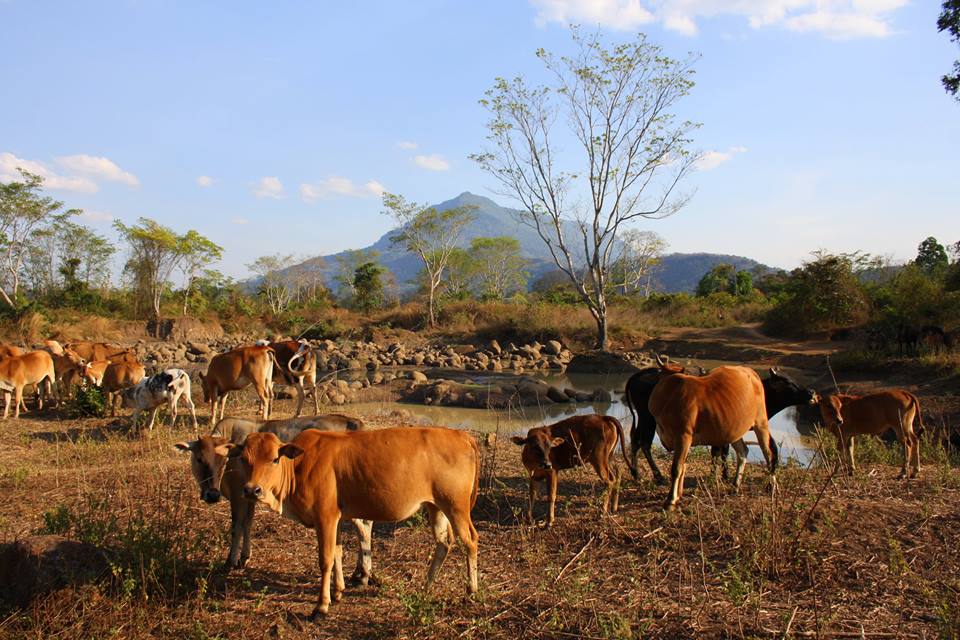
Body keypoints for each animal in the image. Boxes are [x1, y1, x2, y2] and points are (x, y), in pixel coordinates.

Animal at [174, 412, 370, 576]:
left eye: (224, 461)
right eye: (199, 459)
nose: (212, 495)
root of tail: (352, 422)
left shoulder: (238, 496)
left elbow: (236, 527)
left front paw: (230, 561)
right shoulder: (250, 495)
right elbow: (248, 524)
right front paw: (244, 557)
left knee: (363, 528)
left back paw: (362, 574)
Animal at [232, 428, 480, 616]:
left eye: (274, 459)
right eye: (244, 459)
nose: (252, 490)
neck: (299, 465)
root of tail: (461, 435)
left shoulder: (325, 517)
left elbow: (325, 560)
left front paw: (322, 605)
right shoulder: (336, 518)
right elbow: (337, 552)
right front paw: (338, 592)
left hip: (456, 507)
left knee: (470, 541)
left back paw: (471, 591)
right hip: (435, 506)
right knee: (444, 543)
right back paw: (426, 586)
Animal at [648, 364, 776, 510]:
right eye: (659, 375)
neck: (667, 399)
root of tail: (751, 372)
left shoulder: (683, 436)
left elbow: (676, 468)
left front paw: (671, 501)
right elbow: (683, 466)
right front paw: (678, 495)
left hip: (761, 423)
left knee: (768, 454)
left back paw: (771, 486)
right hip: (734, 430)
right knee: (743, 451)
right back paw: (735, 486)